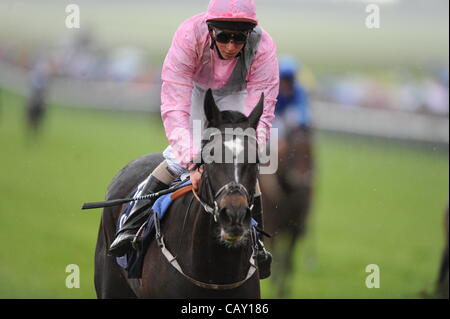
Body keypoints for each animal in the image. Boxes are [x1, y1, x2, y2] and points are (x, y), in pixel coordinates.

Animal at [258, 125, 314, 298]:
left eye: (311, 152)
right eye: (293, 152)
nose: (302, 180)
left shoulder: (295, 228)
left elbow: (288, 259)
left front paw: (283, 289)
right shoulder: (272, 227)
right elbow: (277, 257)